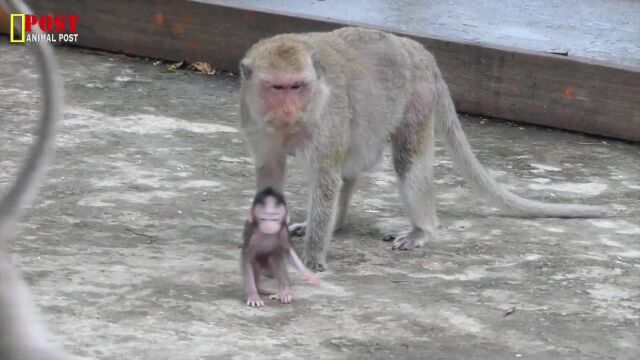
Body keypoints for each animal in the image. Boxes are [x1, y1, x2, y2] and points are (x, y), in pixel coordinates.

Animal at [239, 27, 608, 270]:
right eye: (277, 88)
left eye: (297, 87)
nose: (289, 110)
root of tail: (414, 47)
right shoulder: (255, 121)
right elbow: (271, 172)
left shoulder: (326, 122)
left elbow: (327, 178)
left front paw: (313, 259)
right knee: (356, 163)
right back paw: (339, 222)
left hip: (418, 97)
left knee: (408, 160)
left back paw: (422, 230)